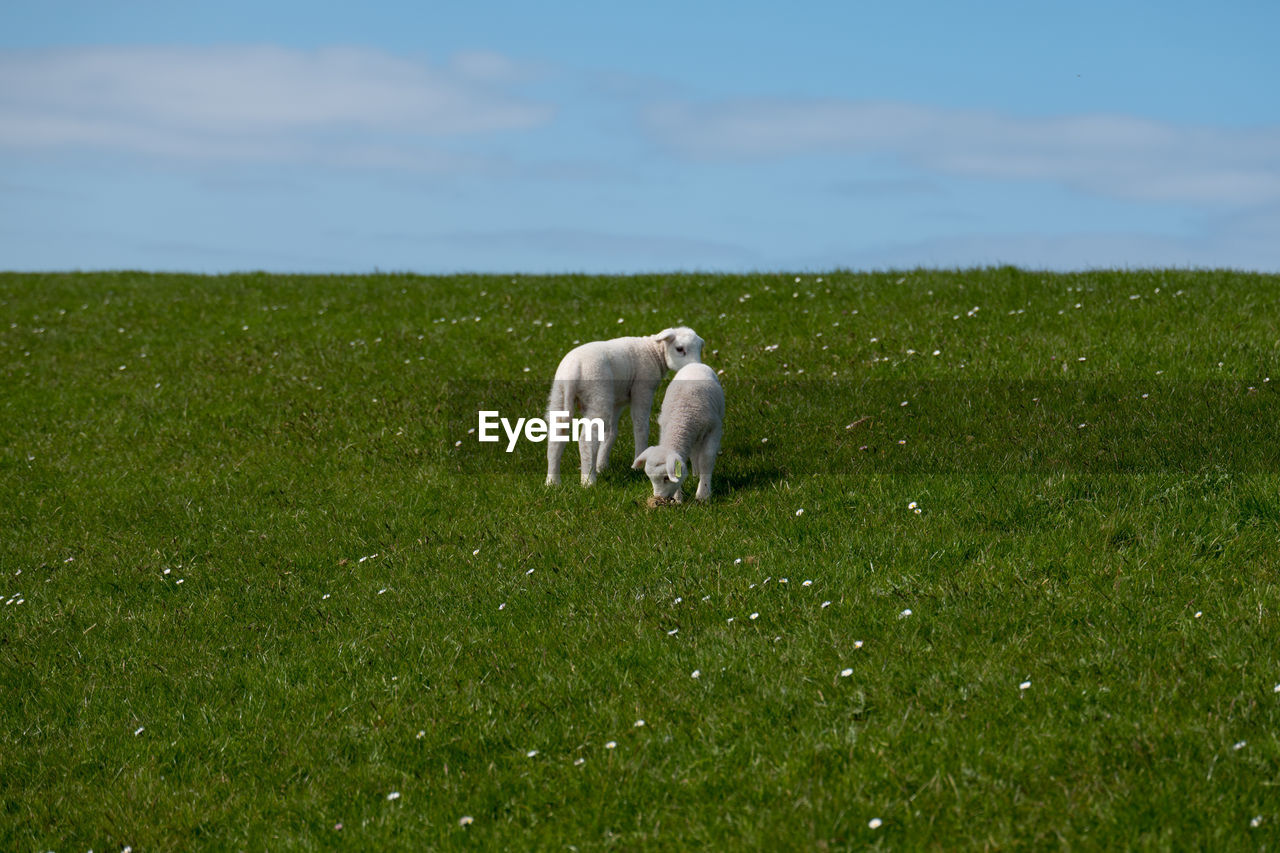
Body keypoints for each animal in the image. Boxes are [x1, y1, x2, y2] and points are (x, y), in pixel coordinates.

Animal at [540, 325, 701, 484]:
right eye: (679, 349)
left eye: (699, 349)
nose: (696, 368)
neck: (654, 353)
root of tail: (574, 369)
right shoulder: (642, 389)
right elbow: (641, 426)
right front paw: (638, 464)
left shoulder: (616, 402)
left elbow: (610, 433)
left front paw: (602, 466)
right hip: (597, 393)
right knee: (587, 440)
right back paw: (588, 481)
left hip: (559, 395)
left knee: (556, 437)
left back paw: (552, 482)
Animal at [634, 356, 727, 499]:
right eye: (650, 478)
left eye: (666, 478)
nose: (659, 498)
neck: (680, 418)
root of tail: (693, 364)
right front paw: (678, 498)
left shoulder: (714, 429)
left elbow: (706, 459)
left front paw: (703, 494)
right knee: (694, 452)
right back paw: (695, 473)